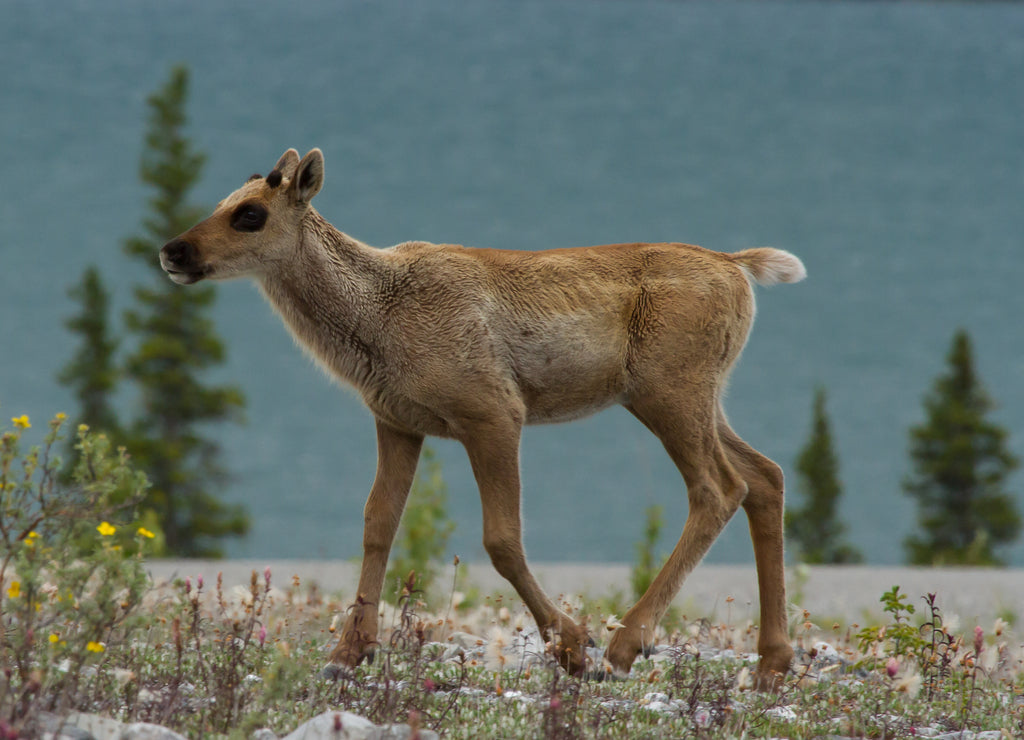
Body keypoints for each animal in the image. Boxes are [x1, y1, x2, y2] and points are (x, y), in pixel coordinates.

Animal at [159, 149, 802, 687]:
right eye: (220, 201)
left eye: (250, 214)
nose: (173, 251)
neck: (374, 326)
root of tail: (740, 268)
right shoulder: (396, 420)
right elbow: (377, 525)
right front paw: (348, 652)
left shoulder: (493, 411)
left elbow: (501, 539)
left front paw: (572, 646)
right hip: (701, 396)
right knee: (765, 475)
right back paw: (772, 661)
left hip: (669, 389)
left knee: (719, 488)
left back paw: (624, 646)